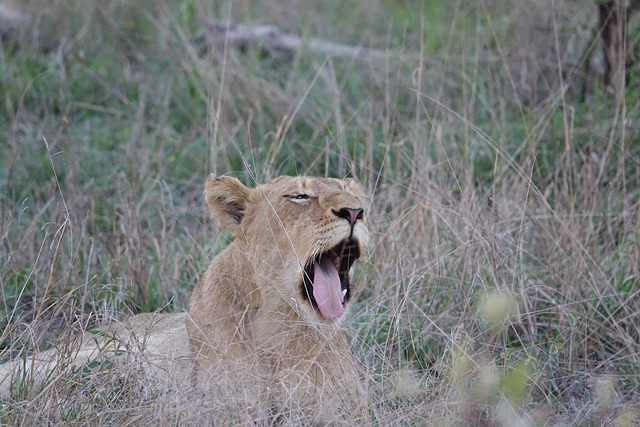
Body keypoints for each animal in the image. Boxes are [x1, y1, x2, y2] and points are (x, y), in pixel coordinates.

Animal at [0, 175, 371, 424]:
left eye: (353, 194)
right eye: (299, 196)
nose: (355, 212)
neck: (280, 329)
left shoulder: (343, 412)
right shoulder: (220, 409)